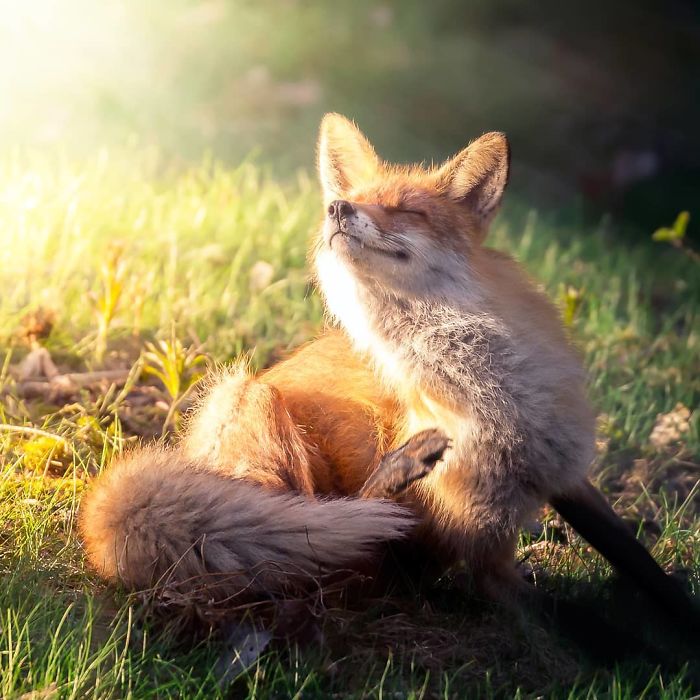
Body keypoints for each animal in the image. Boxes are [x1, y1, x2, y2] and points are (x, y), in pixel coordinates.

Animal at [80, 114, 698, 629]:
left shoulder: (561, 469)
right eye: (348, 199)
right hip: (252, 403)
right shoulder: (477, 538)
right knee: (330, 547)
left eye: (405, 210)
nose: (336, 210)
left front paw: (676, 614)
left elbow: (634, 555)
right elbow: (541, 615)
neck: (494, 392)